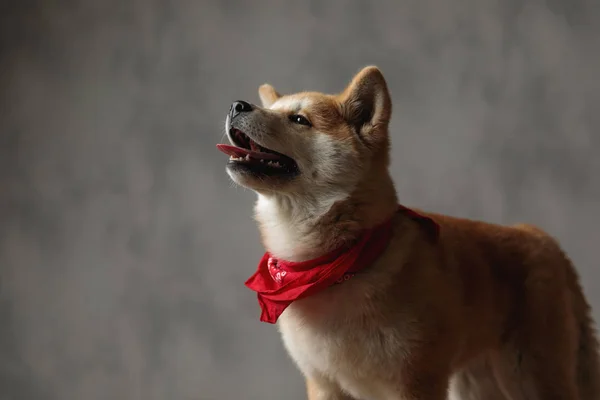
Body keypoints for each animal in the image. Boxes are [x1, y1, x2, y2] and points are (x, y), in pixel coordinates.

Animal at [216, 66, 600, 400]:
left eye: (299, 119)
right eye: (272, 109)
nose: (237, 105)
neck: (334, 265)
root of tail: (540, 236)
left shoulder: (415, 381)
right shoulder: (324, 383)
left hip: (531, 377)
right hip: (476, 383)